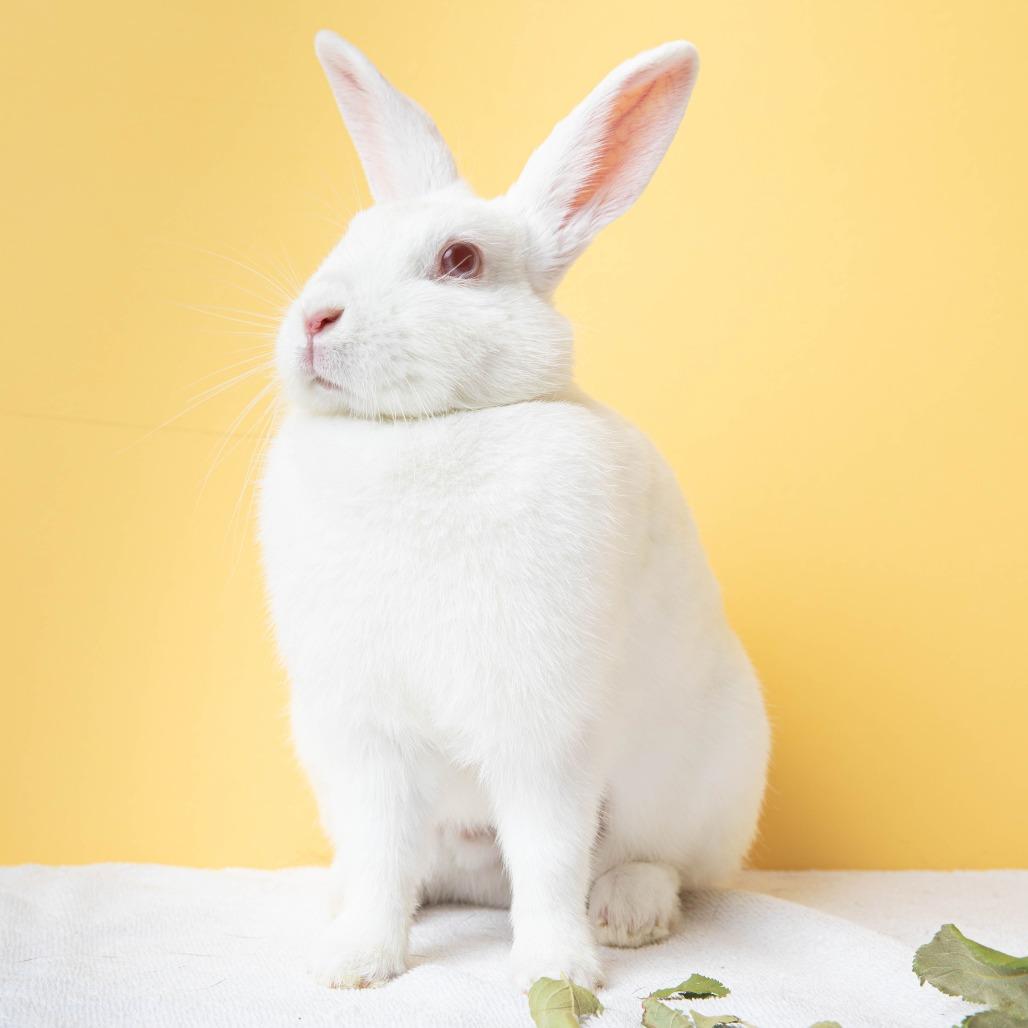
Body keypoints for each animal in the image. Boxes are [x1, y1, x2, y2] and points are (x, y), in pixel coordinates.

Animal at [259, 30, 770, 992]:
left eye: (459, 260)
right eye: (348, 239)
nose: (314, 320)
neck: (425, 430)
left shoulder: (543, 725)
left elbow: (548, 851)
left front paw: (555, 973)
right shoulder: (364, 734)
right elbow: (382, 856)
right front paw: (358, 963)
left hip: (707, 780)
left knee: (655, 861)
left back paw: (627, 915)